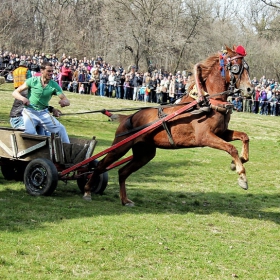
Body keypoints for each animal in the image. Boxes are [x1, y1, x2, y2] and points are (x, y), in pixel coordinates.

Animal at [84, 44, 253, 205]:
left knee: (122, 172)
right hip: (120, 147)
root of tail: (128, 117)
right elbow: (231, 148)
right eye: (236, 67)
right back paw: (87, 191)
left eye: (247, 67)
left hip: (144, 153)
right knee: (101, 166)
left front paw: (238, 161)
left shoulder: (221, 133)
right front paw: (242, 176)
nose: (250, 89)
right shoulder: (205, 137)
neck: (207, 102)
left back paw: (125, 200)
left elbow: (244, 137)